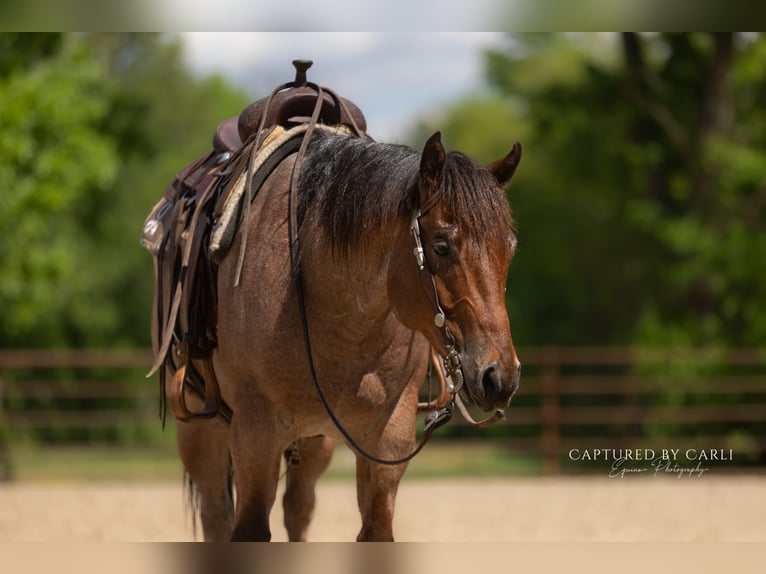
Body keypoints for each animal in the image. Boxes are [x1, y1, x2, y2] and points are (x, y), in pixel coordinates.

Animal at [163, 128, 522, 541]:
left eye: (509, 249)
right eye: (442, 246)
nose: (500, 376)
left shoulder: (388, 439)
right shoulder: (254, 437)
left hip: (316, 443)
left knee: (298, 509)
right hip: (201, 432)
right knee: (216, 514)